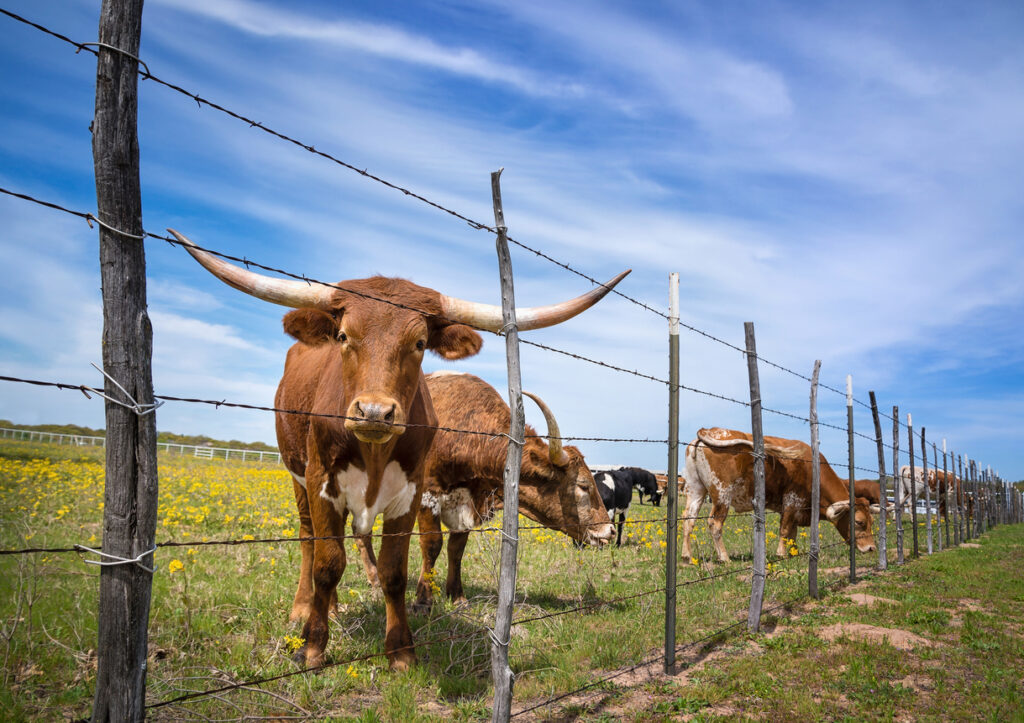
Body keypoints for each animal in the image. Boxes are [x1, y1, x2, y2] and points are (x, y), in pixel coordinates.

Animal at [172, 228, 626, 667]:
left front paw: (445, 604)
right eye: (343, 336)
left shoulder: (435, 495)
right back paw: (310, 607)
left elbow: (434, 553)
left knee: (357, 538)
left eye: (421, 342)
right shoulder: (393, 490)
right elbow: (386, 553)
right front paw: (321, 643)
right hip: (298, 476)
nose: (607, 531)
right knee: (311, 541)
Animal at [679, 426, 880, 561]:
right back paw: (724, 557)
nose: (871, 548)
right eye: (859, 522)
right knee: (715, 524)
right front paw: (782, 554)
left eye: (872, 521)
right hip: (722, 495)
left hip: (696, 489)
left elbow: (792, 532)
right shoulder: (792, 500)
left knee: (688, 519)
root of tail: (710, 430)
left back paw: (686, 556)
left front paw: (793, 552)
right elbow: (784, 529)